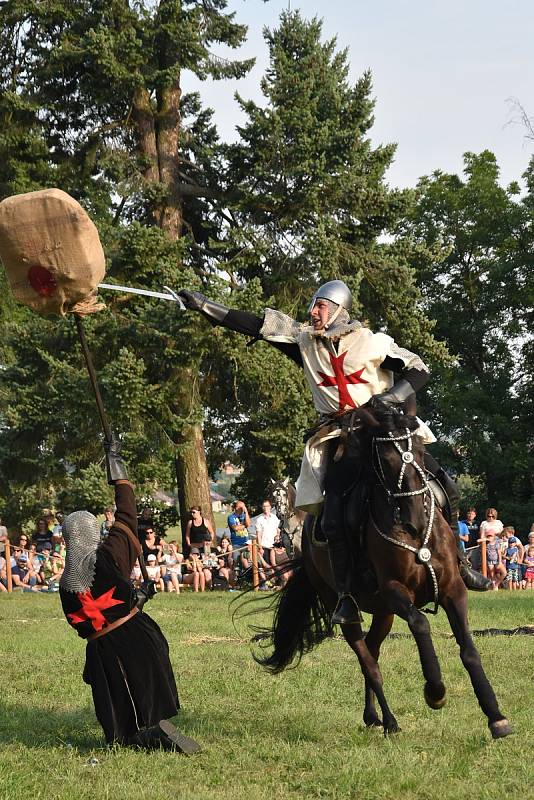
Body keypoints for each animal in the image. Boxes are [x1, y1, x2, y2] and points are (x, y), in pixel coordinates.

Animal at [256, 410, 516, 740]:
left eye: (419, 449)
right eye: (386, 457)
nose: (415, 519)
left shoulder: (453, 589)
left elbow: (469, 650)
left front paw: (496, 716)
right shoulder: (395, 591)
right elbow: (420, 624)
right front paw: (435, 691)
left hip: (383, 613)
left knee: (372, 650)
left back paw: (372, 715)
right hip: (349, 608)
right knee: (367, 660)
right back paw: (389, 720)